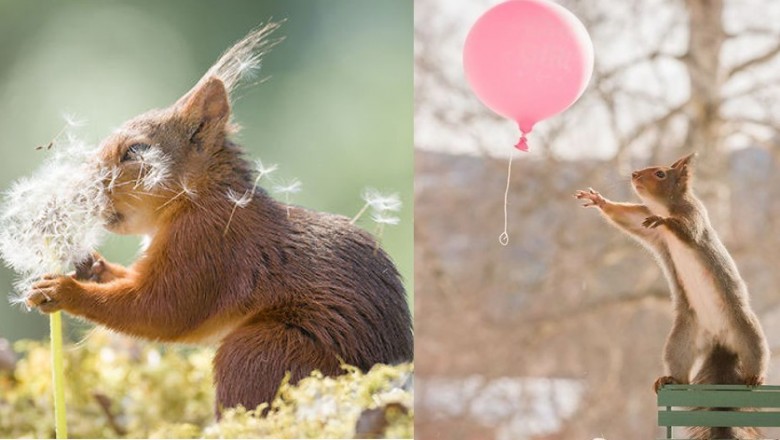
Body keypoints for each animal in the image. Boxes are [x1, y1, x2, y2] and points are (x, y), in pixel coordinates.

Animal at [24, 22, 414, 414]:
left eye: (135, 151)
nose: (79, 189)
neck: (198, 199)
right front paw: (92, 266)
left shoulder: (208, 244)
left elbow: (162, 309)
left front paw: (64, 291)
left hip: (262, 352)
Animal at [572, 152, 768, 440]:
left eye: (661, 174)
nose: (634, 174)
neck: (665, 207)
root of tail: (720, 342)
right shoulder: (646, 224)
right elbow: (627, 218)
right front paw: (599, 200)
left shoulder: (694, 217)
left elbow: (685, 230)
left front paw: (666, 222)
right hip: (681, 341)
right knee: (682, 375)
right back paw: (671, 379)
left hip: (743, 327)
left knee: (756, 351)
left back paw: (756, 376)